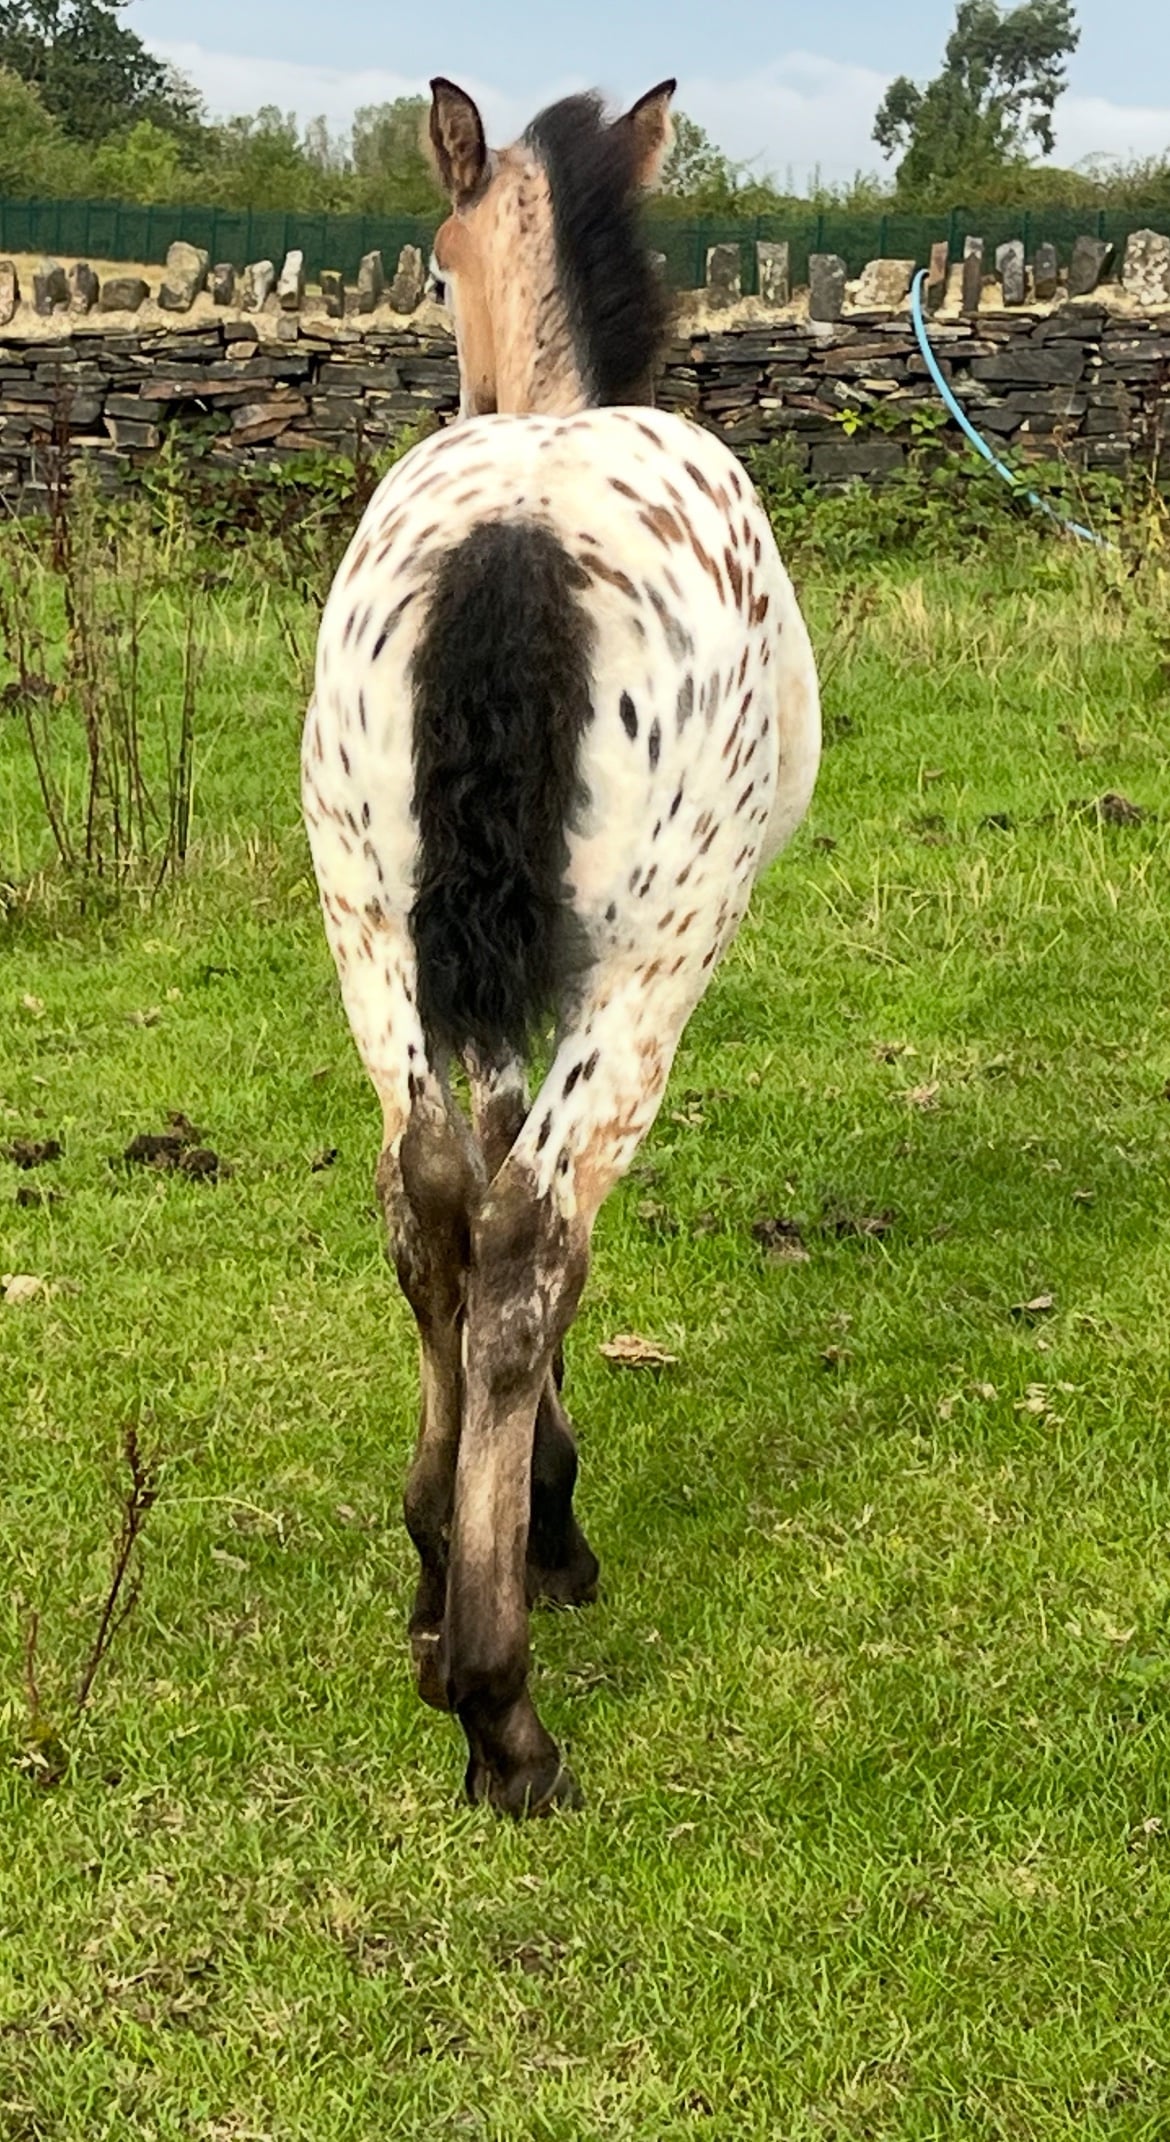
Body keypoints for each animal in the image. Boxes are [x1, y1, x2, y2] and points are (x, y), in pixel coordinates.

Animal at [302, 77, 821, 1814]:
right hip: (657, 959)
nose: (453, 379)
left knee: (427, 1201)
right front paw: (549, 1526)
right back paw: (500, 1707)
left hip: (369, 933)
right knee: (531, 1235)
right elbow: (555, 1242)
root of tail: (517, 516)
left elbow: (462, 1189)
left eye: (431, 261)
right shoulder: (604, 976)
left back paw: (430, 1586)